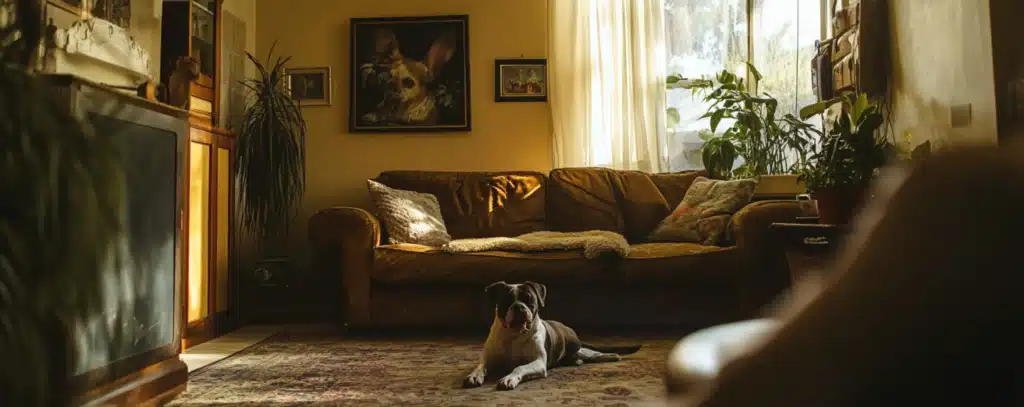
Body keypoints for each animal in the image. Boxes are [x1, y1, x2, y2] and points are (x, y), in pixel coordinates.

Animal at [464, 278, 638, 389]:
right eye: (506, 301)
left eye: (529, 300)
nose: (519, 306)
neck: (514, 335)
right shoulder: (488, 360)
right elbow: (480, 366)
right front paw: (474, 375)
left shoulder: (539, 362)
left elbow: (519, 368)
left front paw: (509, 378)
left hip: (574, 346)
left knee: (592, 354)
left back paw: (611, 356)